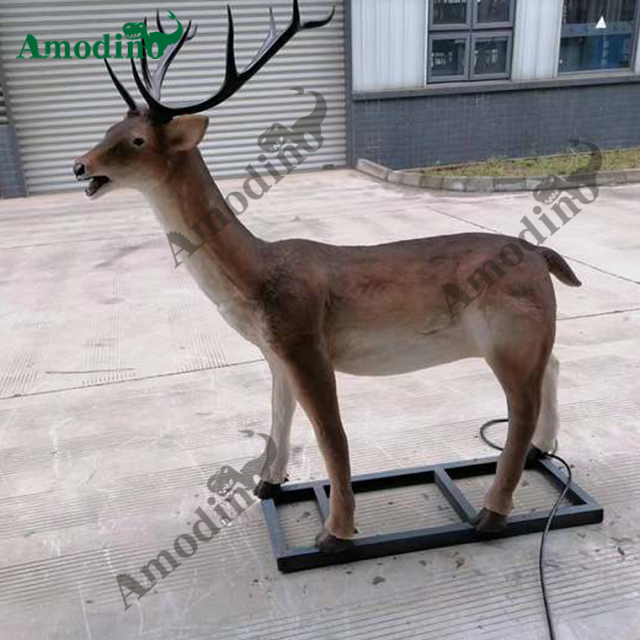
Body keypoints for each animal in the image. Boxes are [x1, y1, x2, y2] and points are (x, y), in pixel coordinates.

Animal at [74, 0, 582, 553]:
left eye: (137, 140)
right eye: (107, 129)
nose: (79, 166)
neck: (257, 275)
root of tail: (541, 255)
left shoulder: (305, 343)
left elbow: (330, 434)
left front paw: (334, 534)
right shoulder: (275, 354)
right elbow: (278, 416)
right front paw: (268, 484)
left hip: (507, 334)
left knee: (521, 408)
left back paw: (492, 513)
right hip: (529, 335)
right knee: (553, 367)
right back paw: (542, 452)